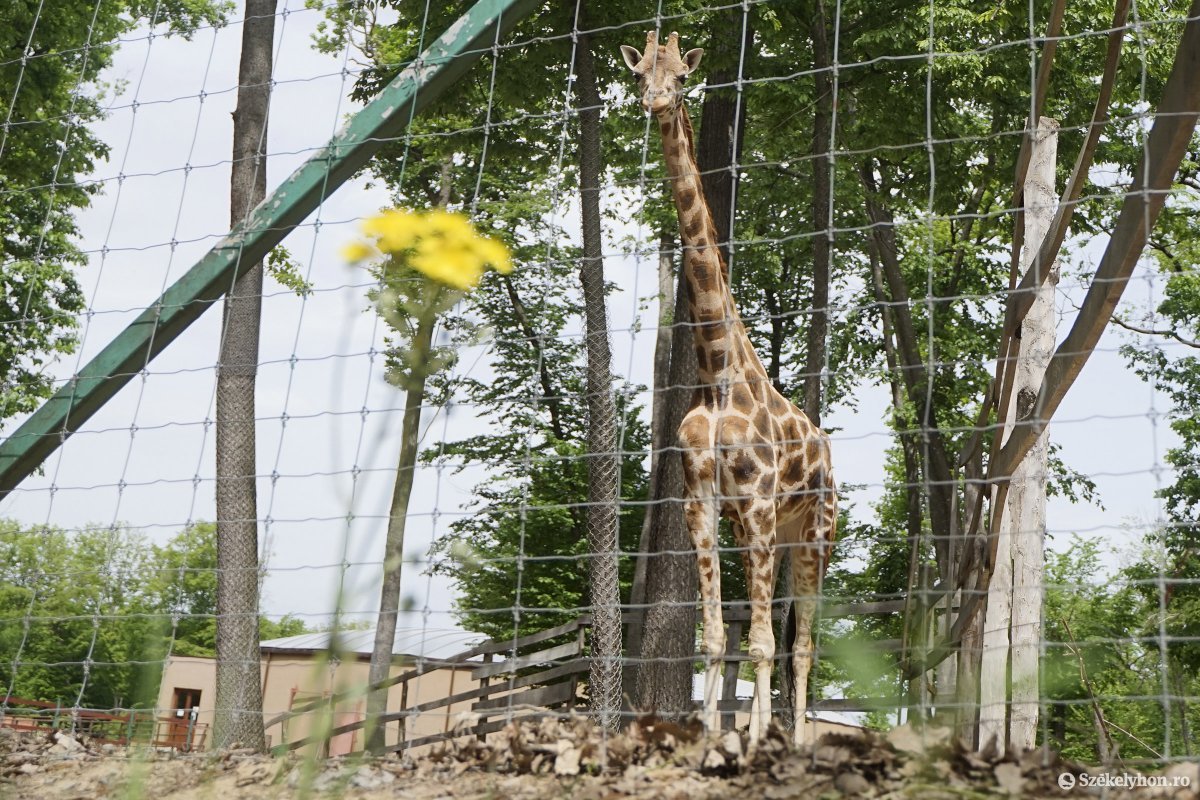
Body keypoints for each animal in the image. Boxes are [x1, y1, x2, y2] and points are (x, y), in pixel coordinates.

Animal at [624, 29, 840, 743]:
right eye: (642, 72)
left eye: (679, 76)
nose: (655, 102)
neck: (719, 375)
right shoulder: (702, 499)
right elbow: (717, 637)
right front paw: (711, 738)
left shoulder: (758, 503)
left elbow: (766, 645)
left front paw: (748, 743)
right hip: (785, 533)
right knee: (786, 637)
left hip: (816, 531)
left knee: (802, 644)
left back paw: (794, 741)